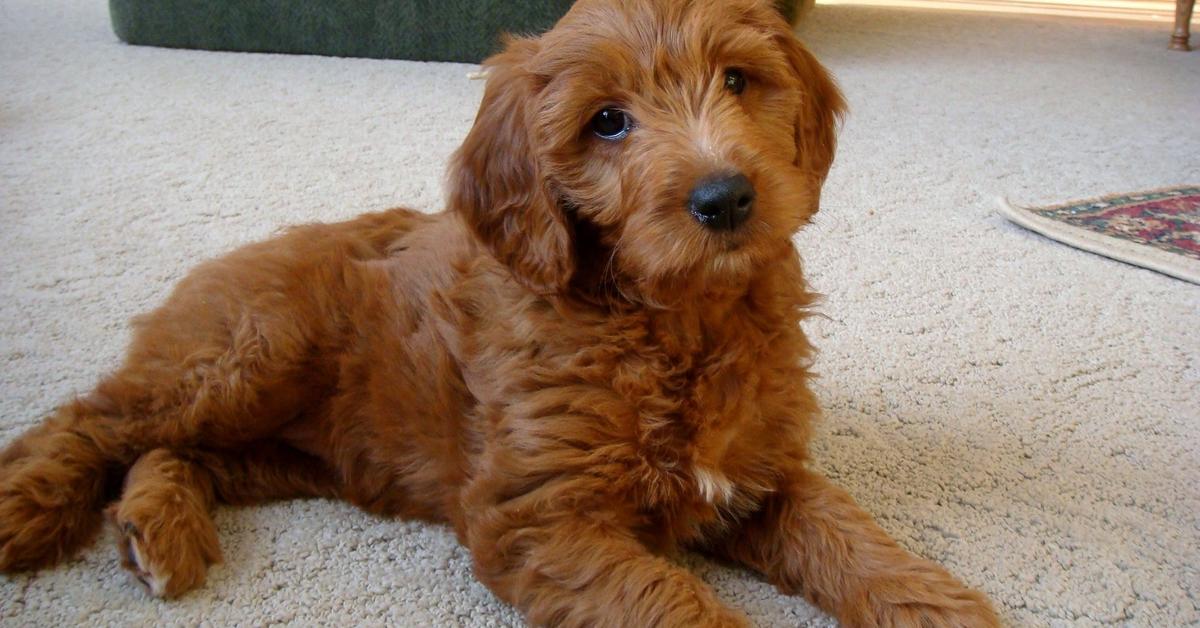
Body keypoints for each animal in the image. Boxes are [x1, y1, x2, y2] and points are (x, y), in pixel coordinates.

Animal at [0, 0, 998, 624]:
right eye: (607, 122)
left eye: (738, 81)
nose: (725, 198)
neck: (679, 321)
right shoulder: (539, 518)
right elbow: (675, 604)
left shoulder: (763, 475)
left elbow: (855, 540)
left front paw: (941, 607)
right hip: (249, 355)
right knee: (92, 419)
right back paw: (26, 509)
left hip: (289, 450)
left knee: (173, 452)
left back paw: (156, 528)